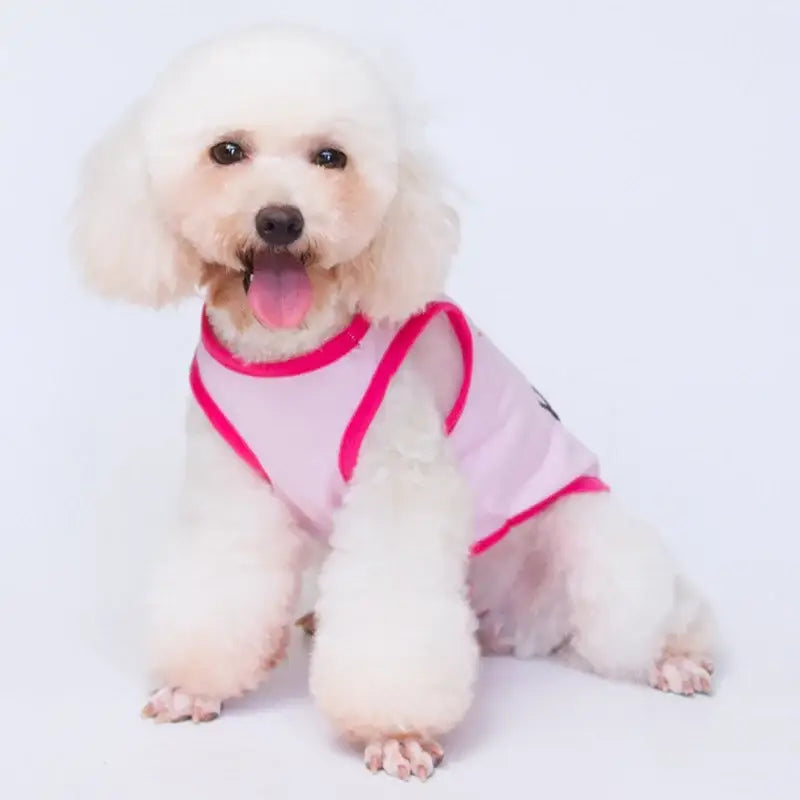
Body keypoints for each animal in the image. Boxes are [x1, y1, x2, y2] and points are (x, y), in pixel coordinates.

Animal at [72, 23, 716, 780]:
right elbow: (221, 584)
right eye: (226, 151)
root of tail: (515, 626)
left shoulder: (399, 482)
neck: (291, 350)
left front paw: (395, 730)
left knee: (655, 612)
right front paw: (199, 685)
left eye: (331, 157)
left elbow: (391, 613)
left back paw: (675, 658)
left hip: (595, 549)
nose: (281, 220)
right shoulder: (234, 489)